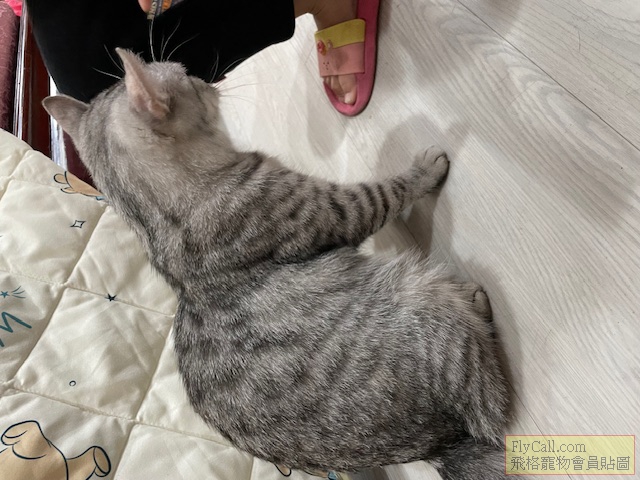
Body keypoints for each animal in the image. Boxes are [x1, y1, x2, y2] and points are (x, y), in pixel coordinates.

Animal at [43, 49, 512, 480]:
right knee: (493, 401)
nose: (207, 78)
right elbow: (386, 191)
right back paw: (475, 299)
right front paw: (426, 167)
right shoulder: (338, 210)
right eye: (187, 75)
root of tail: (440, 442)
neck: (154, 219)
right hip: (422, 295)